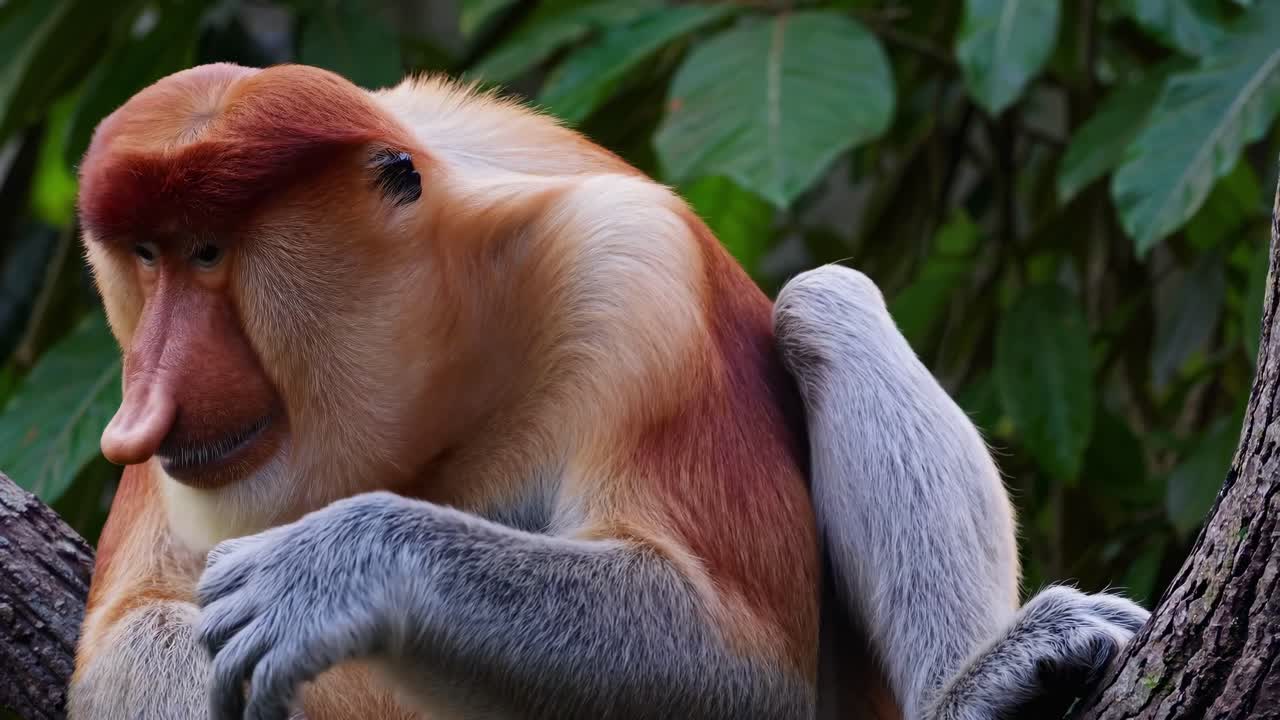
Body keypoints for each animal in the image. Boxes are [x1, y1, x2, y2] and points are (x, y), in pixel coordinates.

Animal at [66, 62, 1148, 720]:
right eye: (146, 257)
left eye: (208, 254)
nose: (146, 399)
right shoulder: (182, 476)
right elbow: (132, 636)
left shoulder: (628, 281)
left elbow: (743, 661)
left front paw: (328, 568)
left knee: (825, 298)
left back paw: (981, 684)